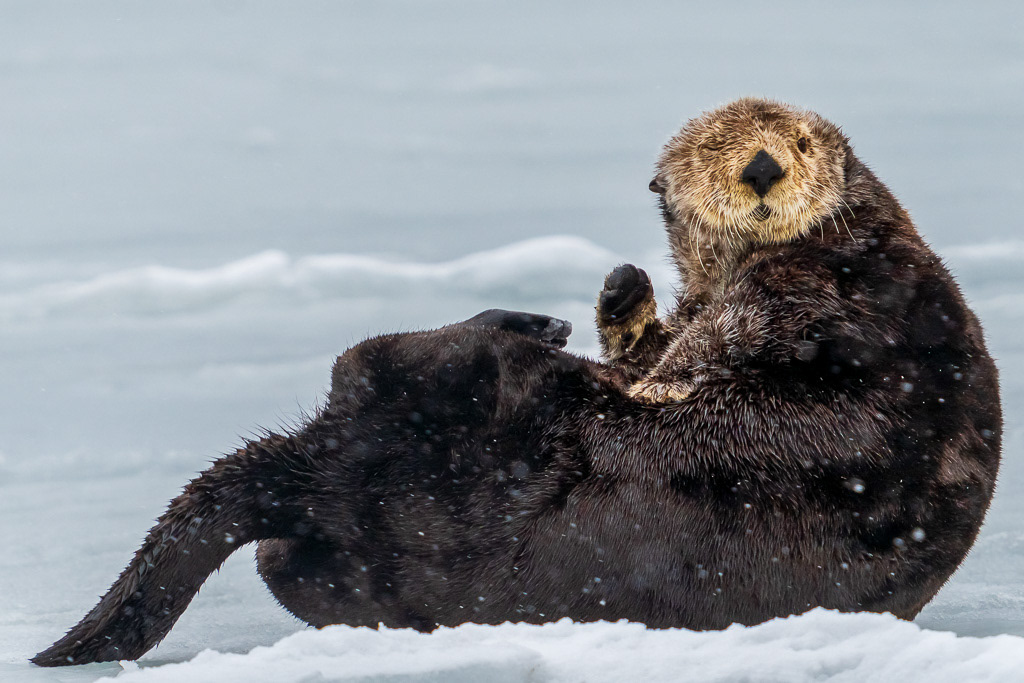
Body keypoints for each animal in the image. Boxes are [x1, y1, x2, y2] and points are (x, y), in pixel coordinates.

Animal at [33, 99, 1001, 667]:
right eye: (711, 150)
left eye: (800, 142)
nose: (762, 167)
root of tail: (323, 478)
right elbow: (659, 346)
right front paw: (625, 294)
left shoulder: (816, 290)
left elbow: (698, 358)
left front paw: (646, 360)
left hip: (452, 399)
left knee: (395, 355)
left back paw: (532, 325)